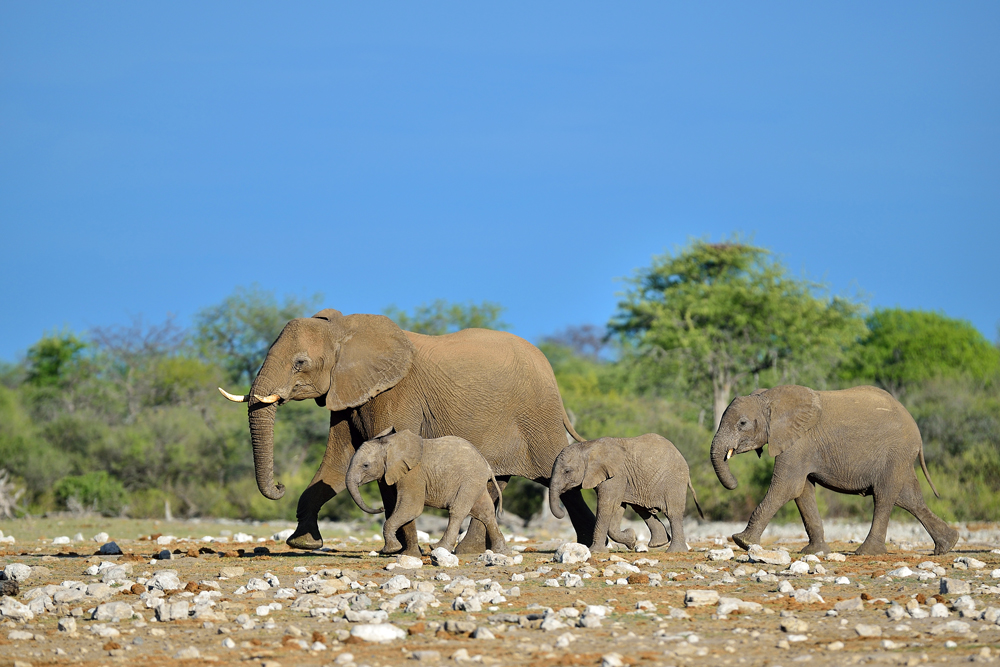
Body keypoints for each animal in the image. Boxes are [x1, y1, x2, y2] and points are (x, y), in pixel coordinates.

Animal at [348, 430, 512, 556]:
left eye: (365, 465)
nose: (381, 508)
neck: (391, 444)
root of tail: (488, 467)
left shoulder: (413, 475)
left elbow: (412, 507)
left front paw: (391, 550)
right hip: (476, 484)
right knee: (486, 512)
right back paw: (501, 552)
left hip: (469, 482)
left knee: (457, 511)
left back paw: (437, 548)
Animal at [548, 434, 704, 552]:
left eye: (567, 471)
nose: (562, 513)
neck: (588, 446)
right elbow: (617, 508)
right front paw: (631, 540)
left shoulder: (616, 476)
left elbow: (607, 506)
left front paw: (595, 551)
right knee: (642, 510)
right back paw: (658, 544)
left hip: (674, 481)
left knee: (672, 512)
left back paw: (674, 550)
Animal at [712, 384, 960, 556]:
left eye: (742, 423)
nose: (735, 483)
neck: (769, 398)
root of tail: (916, 428)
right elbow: (802, 492)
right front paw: (815, 552)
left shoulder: (799, 442)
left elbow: (786, 488)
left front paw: (742, 541)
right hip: (900, 457)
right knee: (909, 498)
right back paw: (948, 545)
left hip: (896, 452)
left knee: (884, 496)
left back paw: (866, 553)